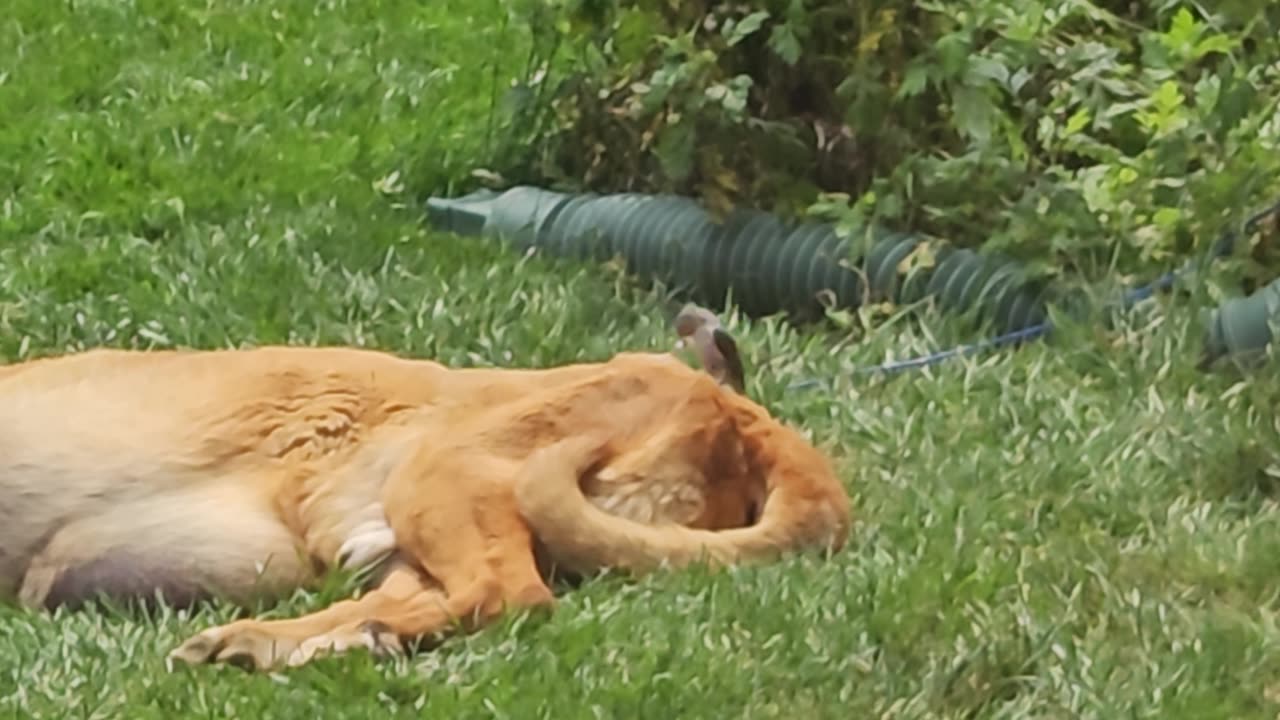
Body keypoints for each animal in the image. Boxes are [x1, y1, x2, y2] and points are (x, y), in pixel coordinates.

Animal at [2, 340, 860, 666]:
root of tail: (742, 413)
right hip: (406, 535)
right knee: (427, 603)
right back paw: (274, 645)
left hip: (437, 479)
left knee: (512, 598)